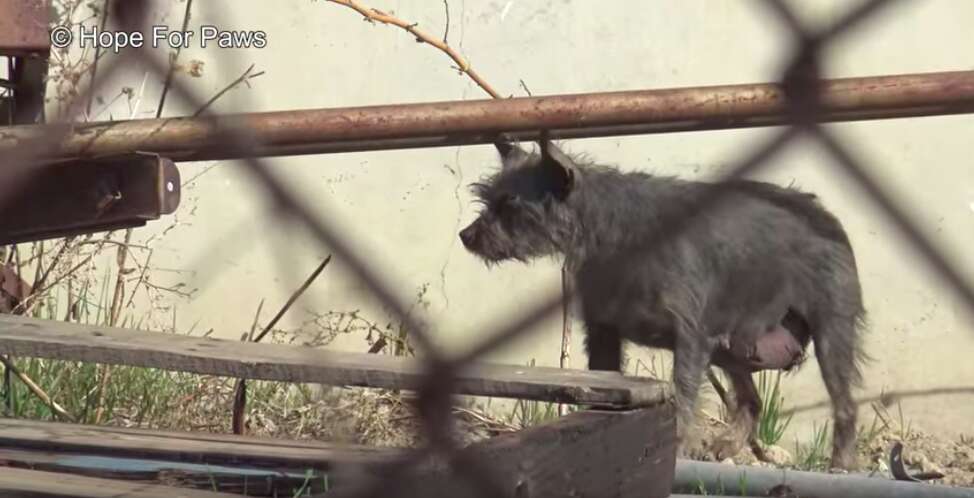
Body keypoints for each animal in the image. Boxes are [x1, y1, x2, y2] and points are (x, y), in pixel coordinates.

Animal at [460, 137, 868, 470]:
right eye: (487, 200)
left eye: (510, 206)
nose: (466, 235)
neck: (613, 232)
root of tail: (824, 214)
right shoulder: (604, 333)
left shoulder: (690, 338)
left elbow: (684, 399)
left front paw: (676, 448)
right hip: (732, 347)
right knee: (751, 399)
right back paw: (727, 445)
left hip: (829, 333)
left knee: (845, 405)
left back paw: (841, 464)